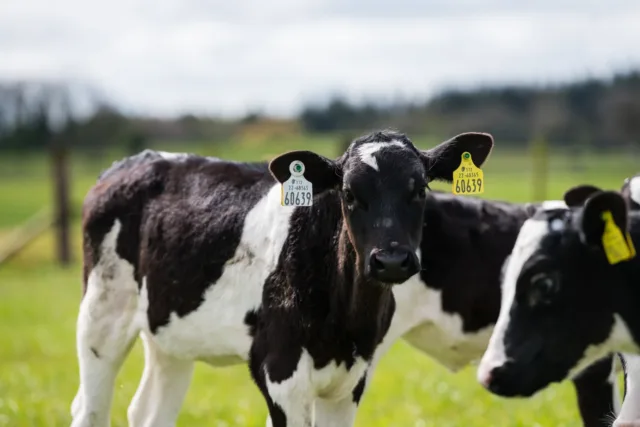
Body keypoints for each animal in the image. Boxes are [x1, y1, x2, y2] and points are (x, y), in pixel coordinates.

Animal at [70, 130, 492, 427]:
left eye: (419, 190)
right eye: (349, 193)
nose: (390, 260)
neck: (344, 322)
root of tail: (132, 161)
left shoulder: (351, 380)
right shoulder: (279, 371)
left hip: (170, 336)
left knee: (148, 413)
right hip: (101, 315)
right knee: (89, 408)